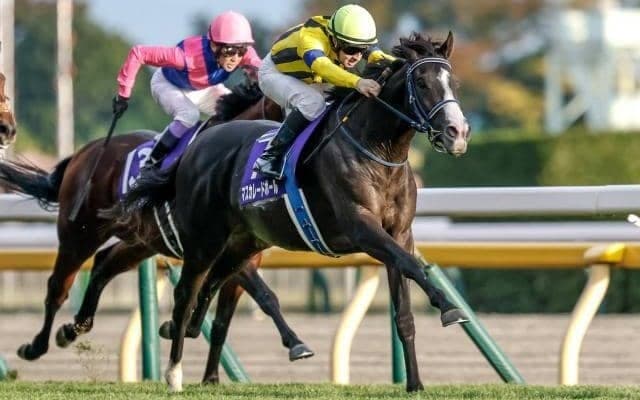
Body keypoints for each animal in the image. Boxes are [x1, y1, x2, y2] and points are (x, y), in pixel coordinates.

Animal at [0, 79, 312, 382]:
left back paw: (75, 327)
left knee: (103, 265)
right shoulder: (221, 250)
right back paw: (36, 346)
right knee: (58, 286)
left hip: (141, 241)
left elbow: (225, 321)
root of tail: (83, 152)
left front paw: (211, 378)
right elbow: (264, 295)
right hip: (79, 233)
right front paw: (295, 343)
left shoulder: (244, 255)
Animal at [113, 32, 471, 392]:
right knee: (185, 292)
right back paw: (174, 372)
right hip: (204, 239)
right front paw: (450, 308)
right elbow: (412, 265)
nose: (457, 132)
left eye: (453, 82)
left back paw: (184, 330)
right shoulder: (361, 227)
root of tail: (195, 146)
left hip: (244, 242)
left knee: (214, 281)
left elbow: (405, 307)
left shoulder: (399, 233)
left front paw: (416, 383)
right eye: (422, 83)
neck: (378, 150)